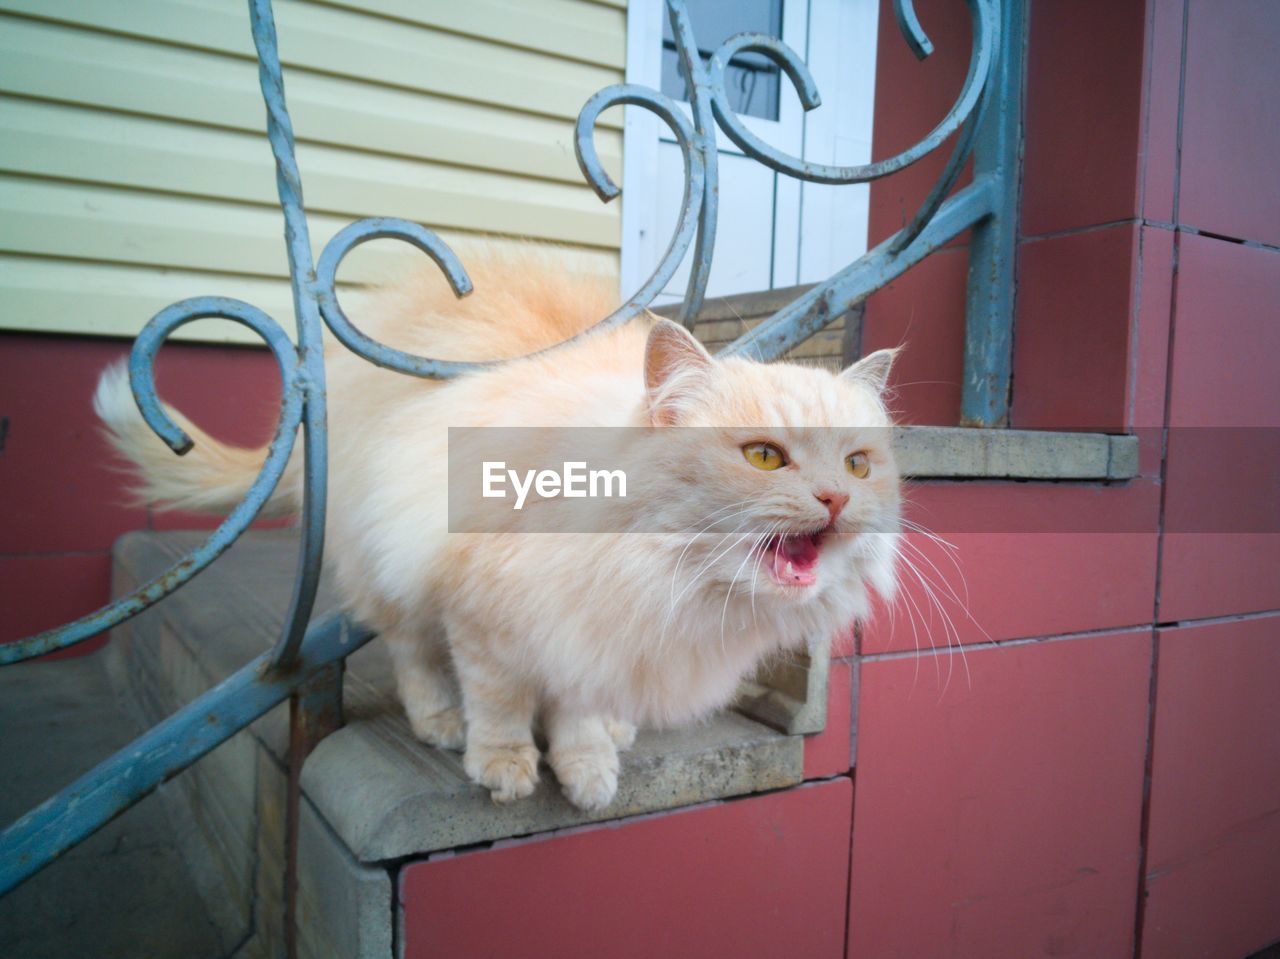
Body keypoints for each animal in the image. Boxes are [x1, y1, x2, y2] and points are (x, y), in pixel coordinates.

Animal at [97, 247, 901, 809]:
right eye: (764, 456)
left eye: (858, 465)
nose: (836, 499)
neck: (658, 576)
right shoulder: (488, 614)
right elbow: (501, 703)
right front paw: (505, 766)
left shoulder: (590, 635)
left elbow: (577, 714)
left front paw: (588, 768)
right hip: (392, 575)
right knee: (414, 657)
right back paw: (440, 723)